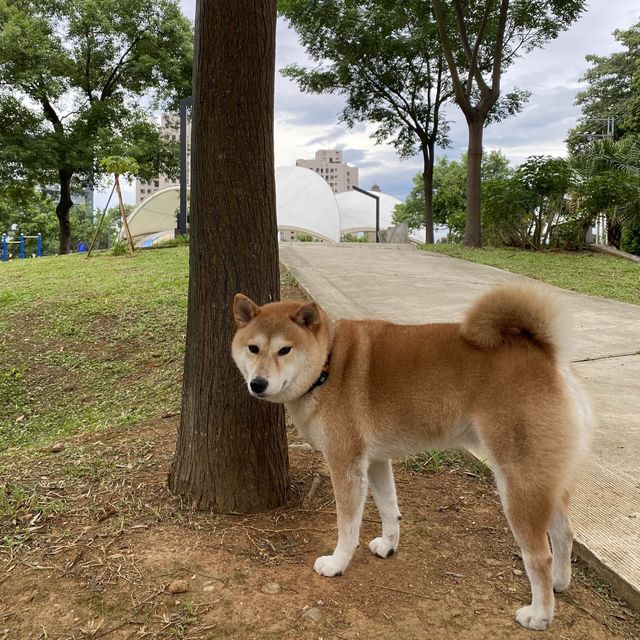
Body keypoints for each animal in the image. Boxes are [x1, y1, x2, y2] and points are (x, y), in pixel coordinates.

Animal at [230, 284, 592, 632]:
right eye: (253, 349)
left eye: (284, 350)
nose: (258, 383)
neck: (328, 363)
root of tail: (547, 356)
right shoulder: (374, 461)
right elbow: (390, 509)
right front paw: (388, 546)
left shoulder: (346, 465)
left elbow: (347, 526)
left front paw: (337, 563)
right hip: (543, 478)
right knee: (564, 533)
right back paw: (560, 583)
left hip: (517, 483)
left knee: (539, 556)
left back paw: (541, 615)